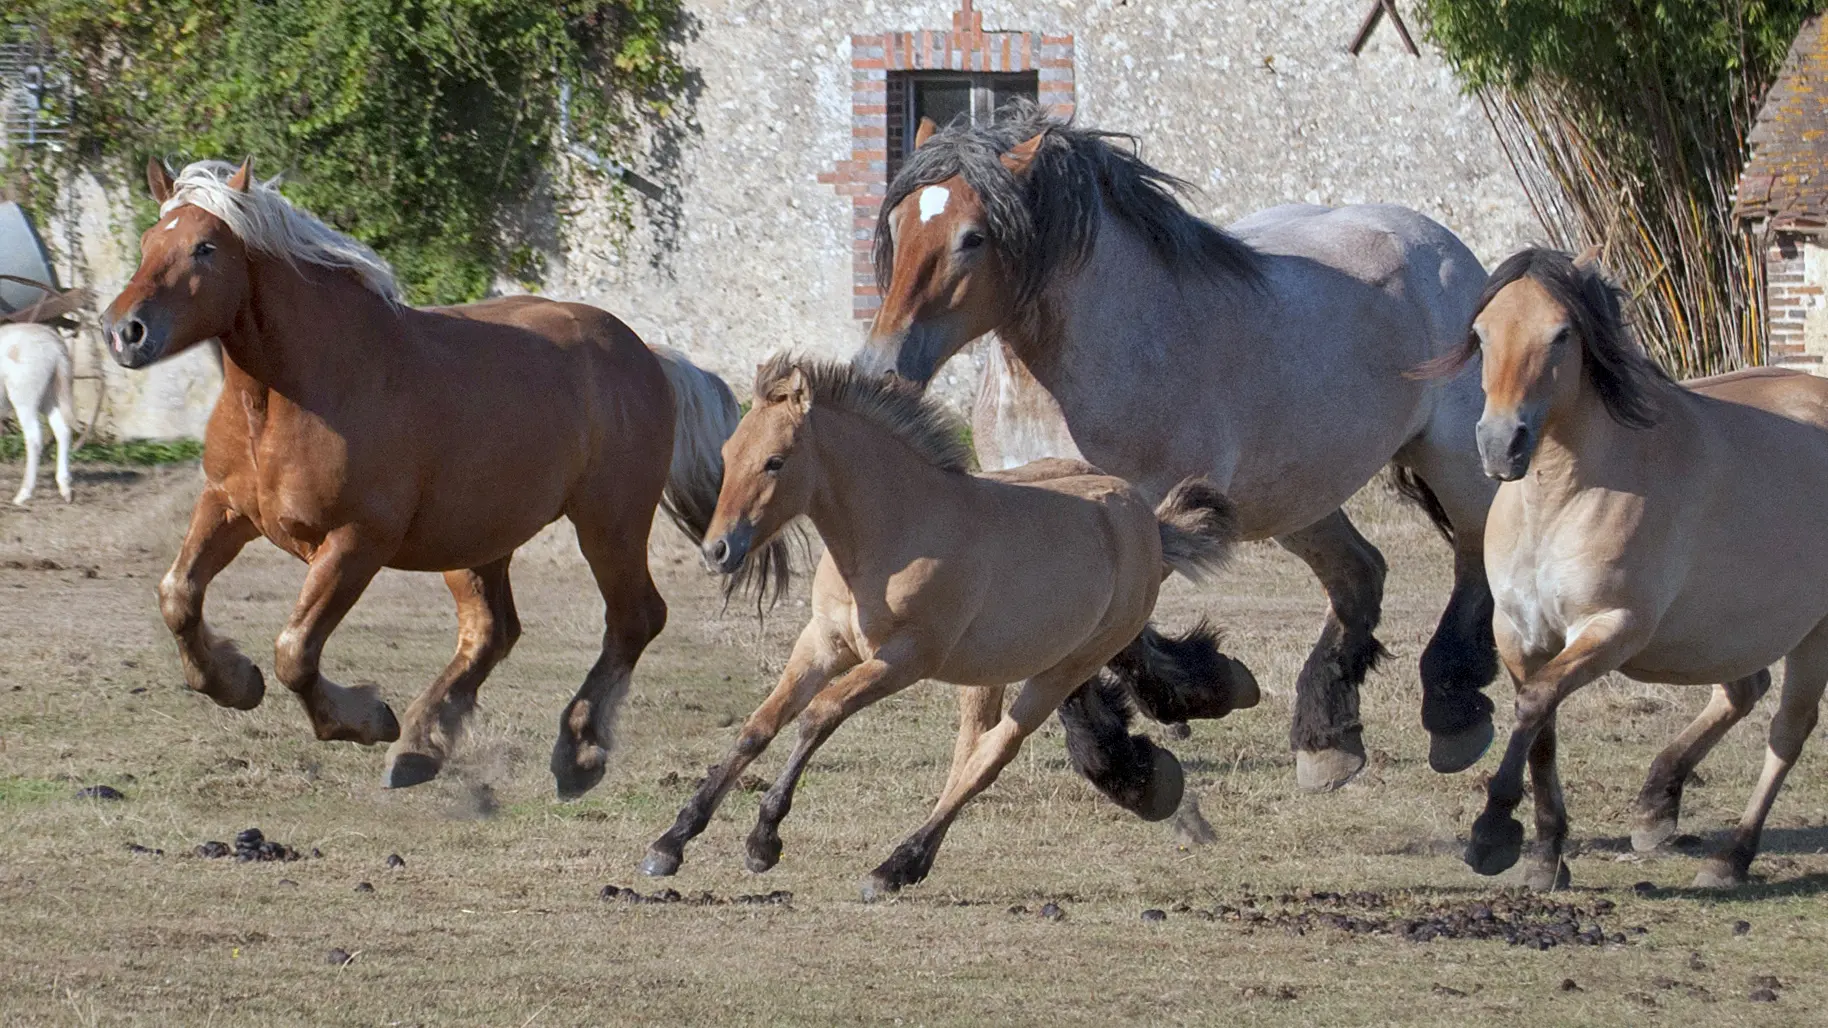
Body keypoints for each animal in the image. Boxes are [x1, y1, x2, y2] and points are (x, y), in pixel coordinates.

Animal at [636, 354, 1250, 896]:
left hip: (1059, 670)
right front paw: (670, 843)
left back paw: (895, 866)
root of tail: (1145, 521)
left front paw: (763, 842)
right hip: (997, 671)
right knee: (975, 752)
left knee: (990, 757)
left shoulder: (904, 658)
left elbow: (818, 716)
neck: (894, 533)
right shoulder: (823, 642)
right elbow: (758, 727)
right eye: (729, 452)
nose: (717, 551)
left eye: (775, 461)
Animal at [1455, 246, 1828, 881]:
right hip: (1726, 626)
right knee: (1742, 692)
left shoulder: (1613, 626)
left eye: (1561, 334)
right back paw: (1657, 806)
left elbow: (1535, 704)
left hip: (1813, 631)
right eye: (1481, 334)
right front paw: (1546, 854)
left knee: (1787, 731)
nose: (1502, 445)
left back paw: (1732, 857)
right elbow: (1541, 727)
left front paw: (1493, 833)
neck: (1562, 500)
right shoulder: (1520, 633)